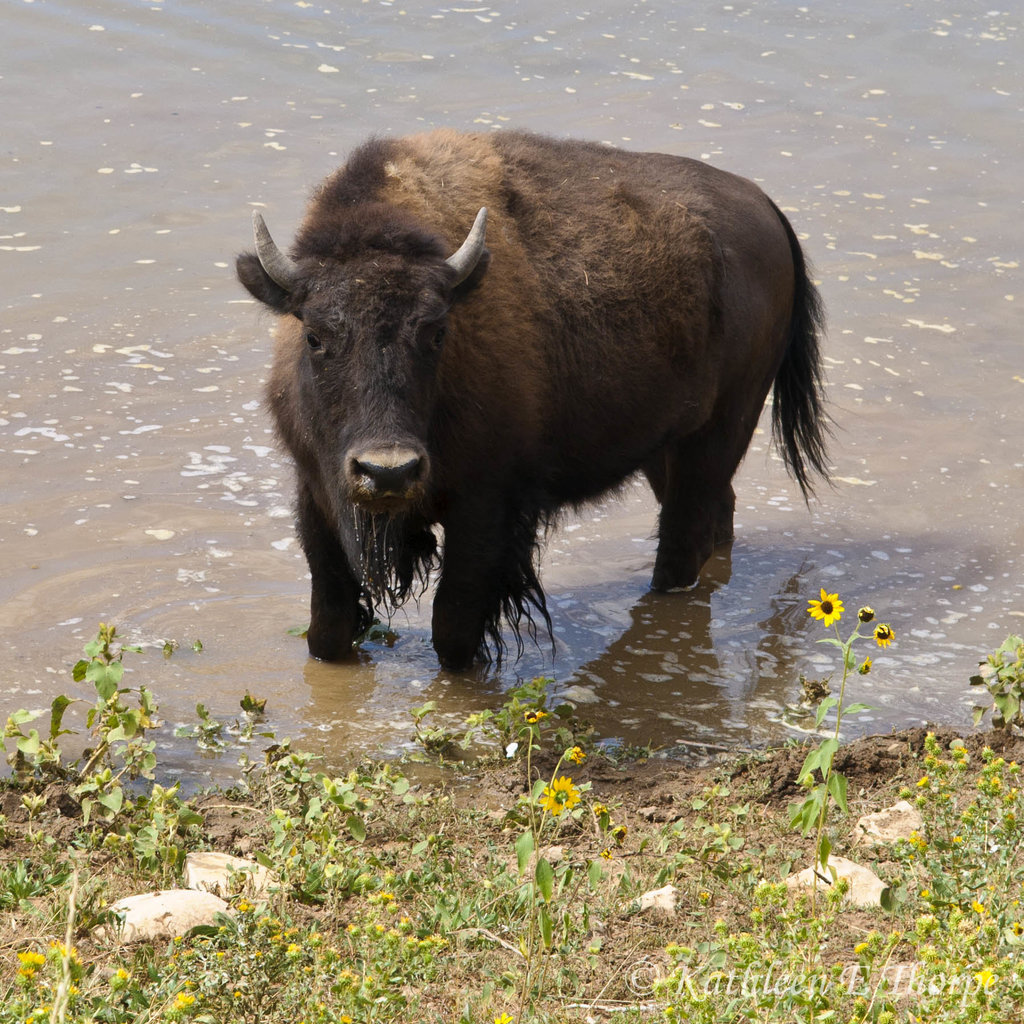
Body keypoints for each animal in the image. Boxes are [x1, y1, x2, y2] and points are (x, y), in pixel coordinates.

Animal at [235, 128, 827, 671]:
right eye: (314, 335)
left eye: (436, 332)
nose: (388, 471)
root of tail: (769, 212)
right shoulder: (317, 494)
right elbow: (328, 626)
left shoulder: (486, 508)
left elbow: (454, 627)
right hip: (669, 449)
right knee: (714, 518)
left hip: (721, 431)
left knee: (684, 539)